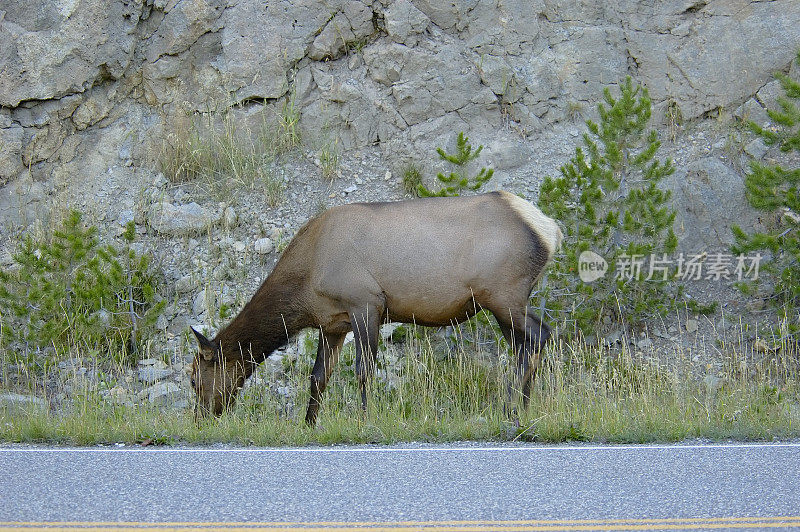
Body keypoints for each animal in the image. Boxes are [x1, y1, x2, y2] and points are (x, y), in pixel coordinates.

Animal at [189, 191, 564, 424]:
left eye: (194, 379)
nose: (201, 418)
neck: (304, 283)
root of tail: (550, 229)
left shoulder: (366, 302)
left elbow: (363, 370)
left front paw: (364, 419)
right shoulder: (332, 324)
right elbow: (318, 377)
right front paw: (308, 425)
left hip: (503, 294)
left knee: (540, 335)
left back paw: (512, 408)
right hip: (503, 301)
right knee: (525, 345)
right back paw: (521, 409)